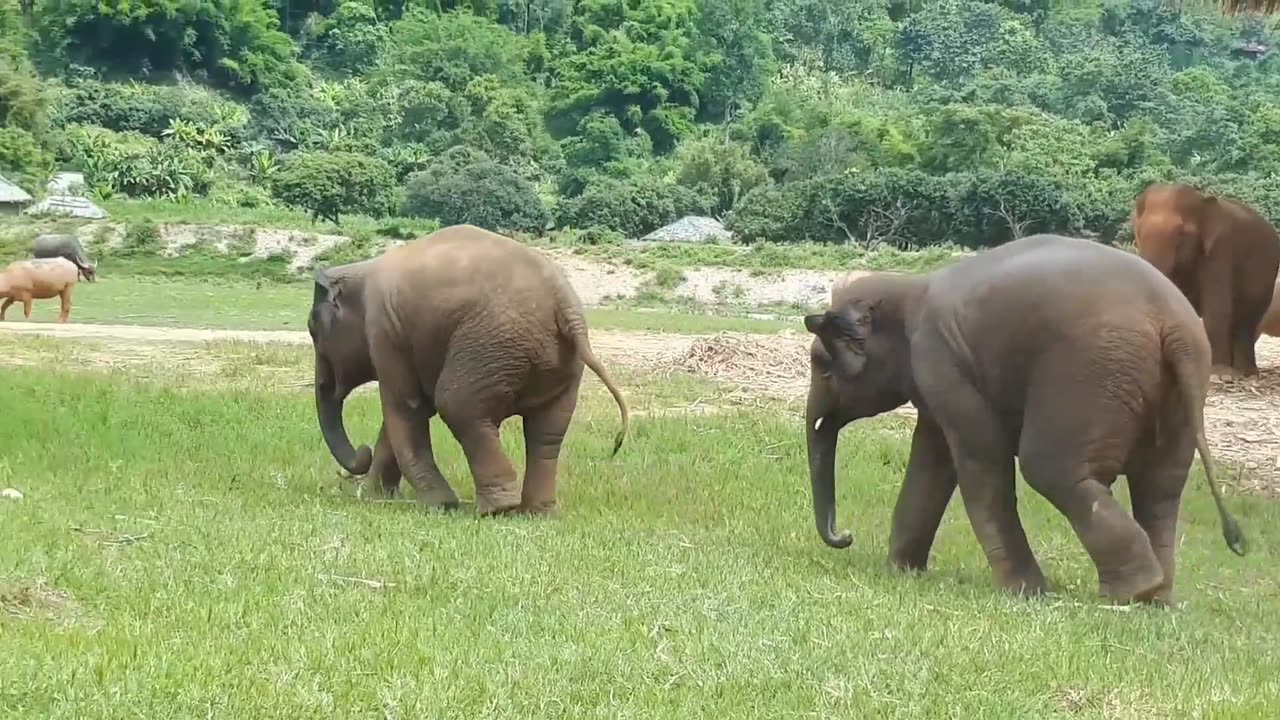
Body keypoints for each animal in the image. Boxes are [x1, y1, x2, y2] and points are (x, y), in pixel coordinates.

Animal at [309, 222, 629, 509]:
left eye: (313, 329)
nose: (360, 453)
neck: (360, 271)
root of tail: (566, 305)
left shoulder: (385, 332)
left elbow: (407, 407)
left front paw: (441, 505)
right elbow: (403, 414)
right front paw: (375, 496)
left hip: (491, 344)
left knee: (458, 406)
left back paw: (498, 508)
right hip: (558, 362)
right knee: (548, 429)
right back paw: (537, 511)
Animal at [803, 233, 1244, 602]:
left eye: (822, 365)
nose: (846, 536)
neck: (909, 287)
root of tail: (1172, 323)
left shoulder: (942, 363)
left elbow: (981, 460)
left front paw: (1023, 592)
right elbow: (932, 460)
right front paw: (902, 571)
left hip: (1087, 375)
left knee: (1052, 470)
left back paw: (1131, 592)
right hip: (1178, 391)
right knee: (1161, 487)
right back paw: (1154, 597)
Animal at [1136, 181, 1274, 376]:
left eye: (1181, 233)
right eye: (1139, 232)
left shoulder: (1221, 248)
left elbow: (1217, 308)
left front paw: (1218, 373)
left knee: (1247, 319)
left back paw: (1244, 372)